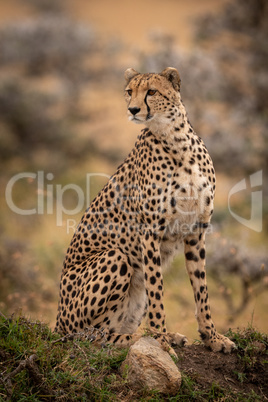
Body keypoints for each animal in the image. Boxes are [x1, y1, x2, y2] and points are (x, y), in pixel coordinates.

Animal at [54, 67, 234, 354]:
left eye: (151, 91)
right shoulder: (150, 232)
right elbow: (157, 289)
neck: (176, 140)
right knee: (92, 336)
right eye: (130, 91)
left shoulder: (196, 230)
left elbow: (201, 287)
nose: (133, 109)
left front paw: (212, 337)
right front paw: (160, 341)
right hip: (114, 259)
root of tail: (58, 322)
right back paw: (141, 338)